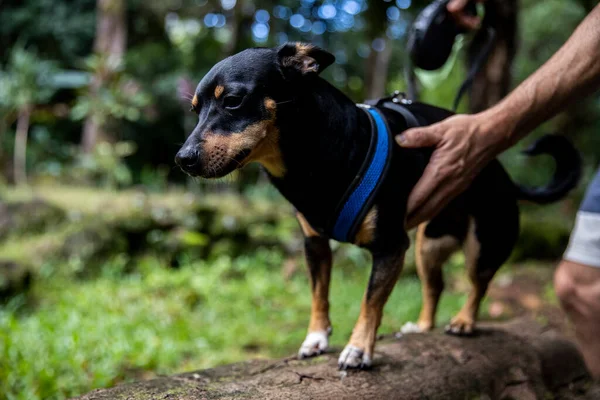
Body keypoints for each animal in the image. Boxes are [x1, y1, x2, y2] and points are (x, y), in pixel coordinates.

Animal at [173, 43, 580, 368]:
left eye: (232, 101)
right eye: (195, 111)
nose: (182, 159)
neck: (311, 163)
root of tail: (506, 176)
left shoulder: (389, 247)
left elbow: (371, 302)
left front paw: (357, 349)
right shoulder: (315, 244)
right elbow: (319, 294)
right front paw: (316, 338)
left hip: (485, 241)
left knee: (477, 283)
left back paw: (464, 321)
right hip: (428, 245)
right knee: (436, 286)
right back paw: (423, 326)